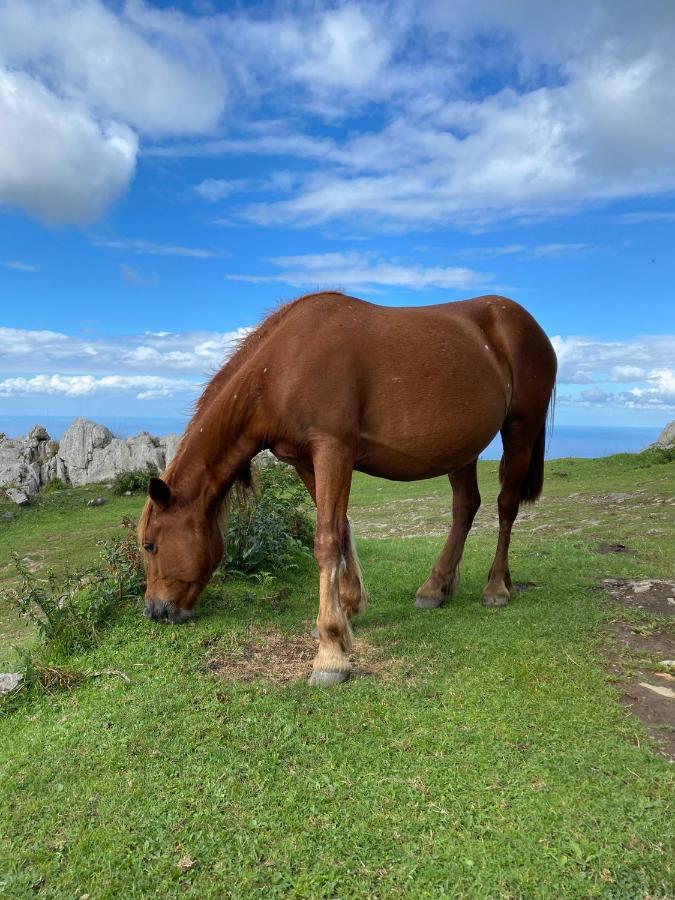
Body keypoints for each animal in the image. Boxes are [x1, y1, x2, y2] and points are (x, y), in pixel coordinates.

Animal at [137, 292, 556, 684]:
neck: (280, 368)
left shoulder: (332, 449)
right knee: (465, 506)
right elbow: (339, 530)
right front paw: (349, 610)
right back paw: (435, 587)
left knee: (505, 506)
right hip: (461, 448)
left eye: (150, 545)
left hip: (520, 428)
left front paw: (330, 652)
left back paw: (496, 588)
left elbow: (325, 541)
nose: (154, 610)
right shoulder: (305, 460)